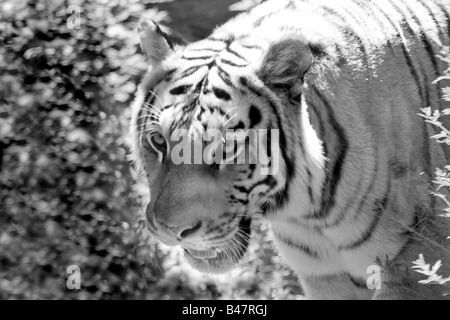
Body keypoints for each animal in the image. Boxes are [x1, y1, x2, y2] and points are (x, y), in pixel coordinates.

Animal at [128, 0, 450, 300]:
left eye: (226, 148)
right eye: (159, 141)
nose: (172, 231)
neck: (308, 213)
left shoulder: (413, 265)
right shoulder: (324, 275)